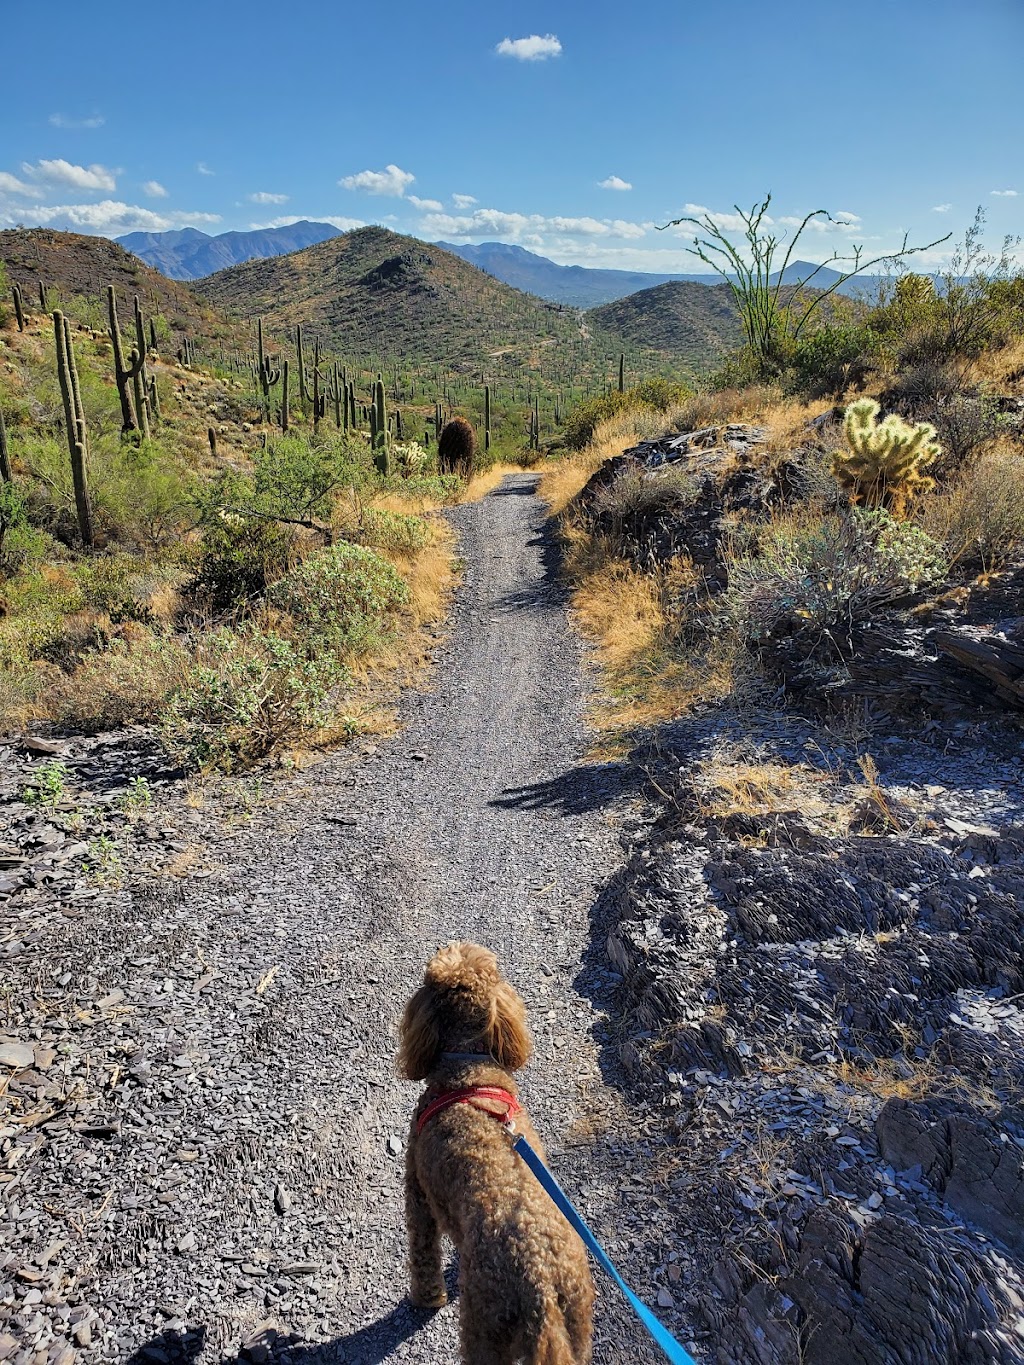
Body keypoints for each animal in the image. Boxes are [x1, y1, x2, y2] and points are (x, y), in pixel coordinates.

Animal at [398, 944, 592, 1365]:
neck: (468, 1068)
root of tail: (542, 1289)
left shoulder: (418, 1193)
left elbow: (423, 1255)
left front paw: (426, 1299)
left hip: (484, 1329)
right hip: (578, 1328)